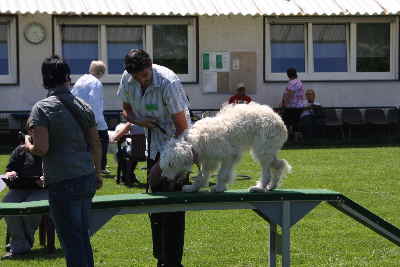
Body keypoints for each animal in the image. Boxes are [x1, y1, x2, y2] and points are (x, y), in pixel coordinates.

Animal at [159, 102, 290, 193]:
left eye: (170, 164)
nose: (163, 178)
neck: (193, 143)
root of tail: (279, 120)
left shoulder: (229, 157)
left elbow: (222, 174)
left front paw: (219, 188)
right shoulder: (208, 160)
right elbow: (202, 176)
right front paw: (193, 187)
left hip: (261, 150)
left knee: (267, 172)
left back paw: (259, 187)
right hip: (268, 150)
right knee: (279, 164)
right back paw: (272, 185)